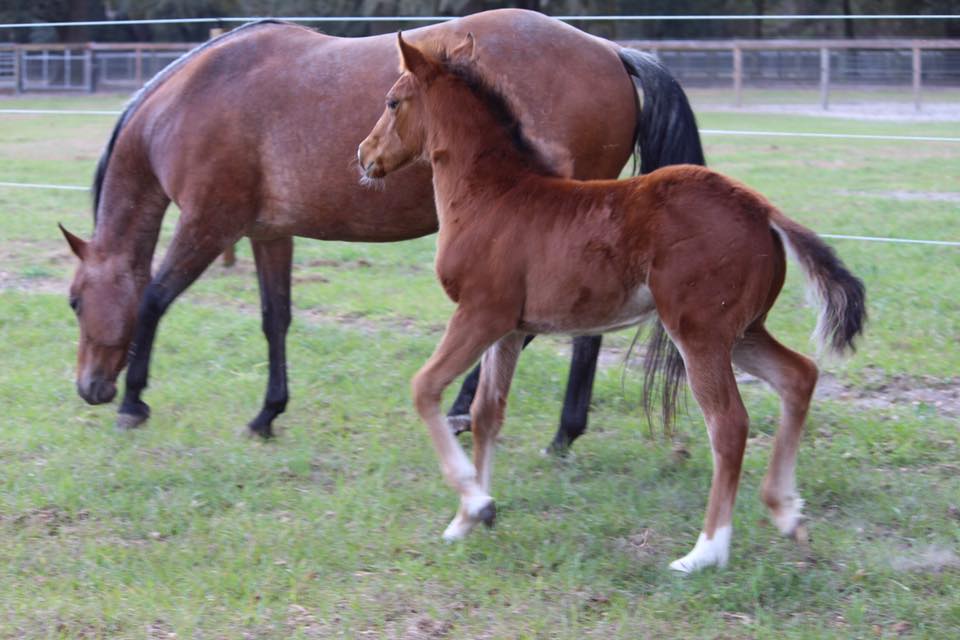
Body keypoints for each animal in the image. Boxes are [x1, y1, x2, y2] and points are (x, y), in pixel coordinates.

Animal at [60, 8, 704, 444]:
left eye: (73, 301)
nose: (89, 388)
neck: (194, 96)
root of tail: (611, 50)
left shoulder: (208, 224)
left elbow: (153, 298)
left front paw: (133, 402)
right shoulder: (268, 233)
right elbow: (275, 320)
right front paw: (268, 412)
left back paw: (533, 427)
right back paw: (507, 418)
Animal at [356, 35, 868, 572]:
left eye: (392, 102)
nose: (363, 154)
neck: (492, 196)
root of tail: (762, 209)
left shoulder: (480, 313)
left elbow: (425, 387)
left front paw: (475, 503)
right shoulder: (510, 328)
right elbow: (486, 413)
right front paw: (469, 518)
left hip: (699, 333)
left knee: (729, 424)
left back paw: (705, 551)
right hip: (742, 331)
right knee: (799, 376)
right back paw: (787, 511)